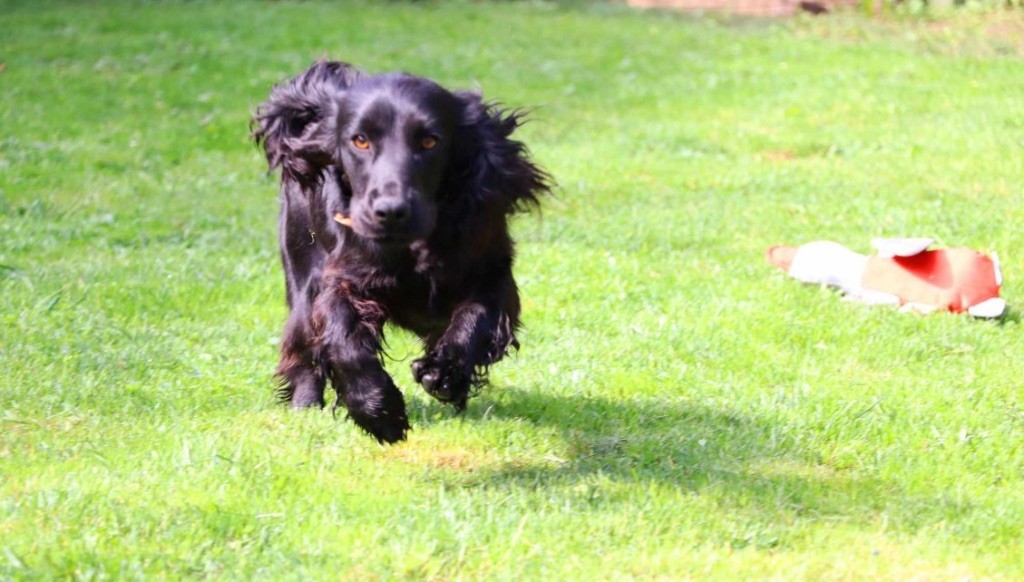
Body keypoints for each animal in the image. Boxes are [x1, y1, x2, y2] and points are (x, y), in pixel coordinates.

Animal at [250, 62, 548, 440]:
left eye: (429, 140)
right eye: (360, 140)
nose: (390, 211)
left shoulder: (491, 270)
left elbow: (474, 319)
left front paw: (443, 374)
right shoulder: (344, 277)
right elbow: (343, 338)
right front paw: (378, 411)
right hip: (302, 266)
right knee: (302, 340)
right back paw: (305, 405)